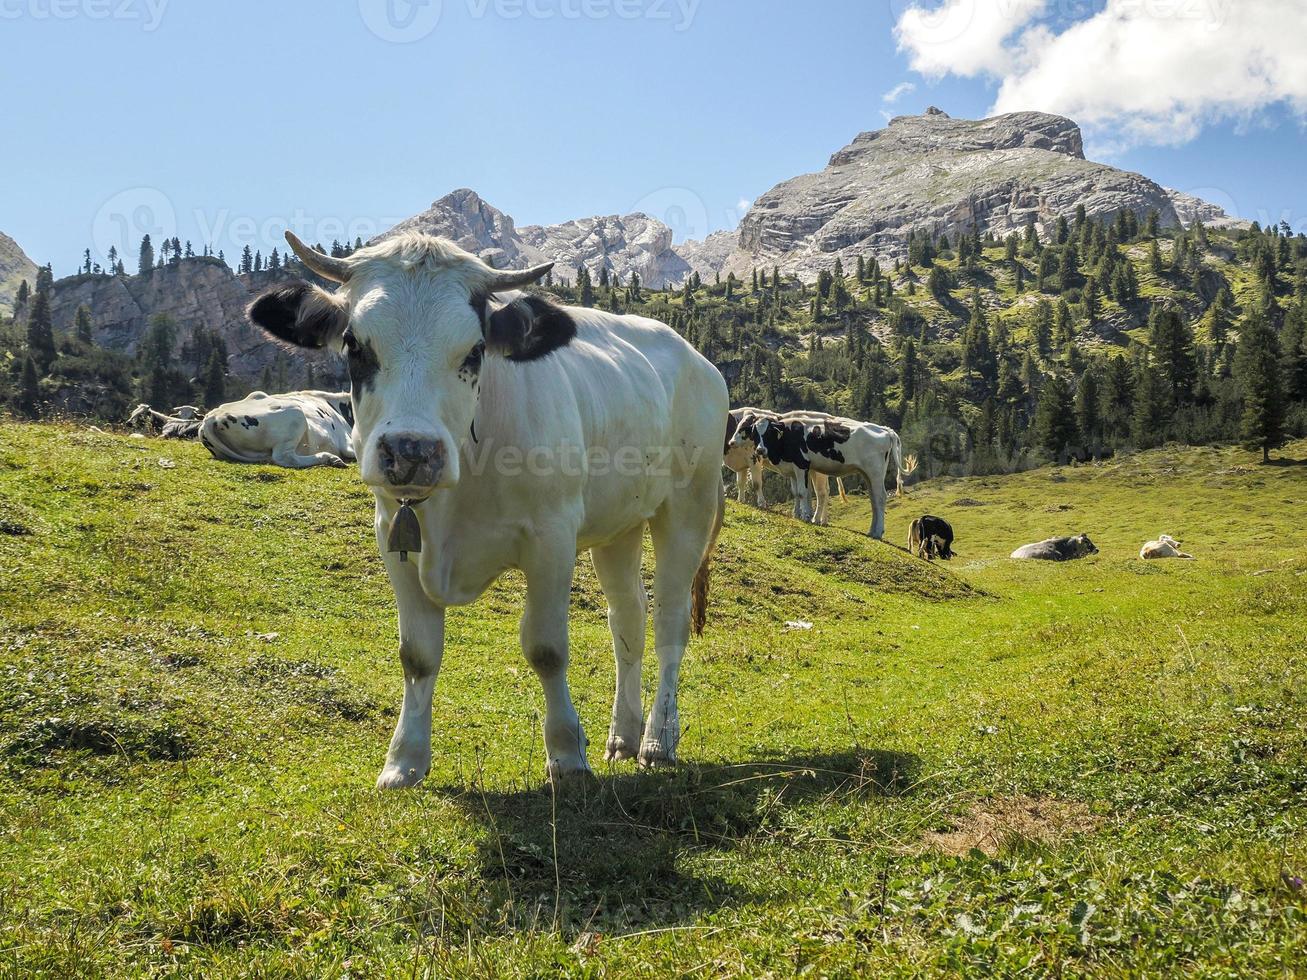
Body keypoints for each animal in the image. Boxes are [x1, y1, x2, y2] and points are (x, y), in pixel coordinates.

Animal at [249, 229, 731, 789]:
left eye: (476, 349)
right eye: (353, 344)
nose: (412, 451)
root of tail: (695, 357)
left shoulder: (552, 537)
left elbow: (547, 648)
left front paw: (567, 756)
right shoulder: (394, 534)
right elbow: (417, 654)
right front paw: (404, 760)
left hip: (688, 506)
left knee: (670, 622)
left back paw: (658, 741)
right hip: (620, 524)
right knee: (628, 619)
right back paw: (623, 737)